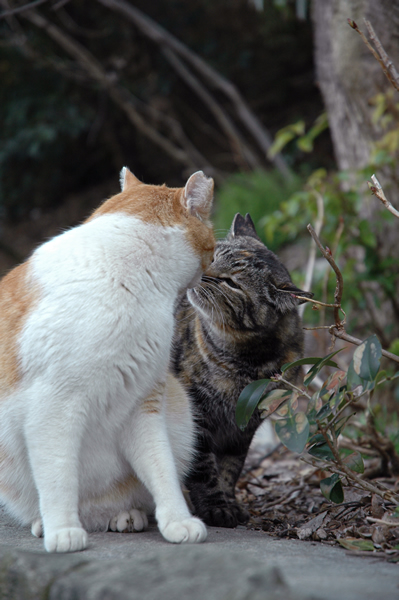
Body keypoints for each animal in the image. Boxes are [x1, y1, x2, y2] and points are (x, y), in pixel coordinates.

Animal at [172, 213, 312, 528]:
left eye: (231, 283)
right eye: (213, 256)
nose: (199, 271)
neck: (246, 364)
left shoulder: (243, 428)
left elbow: (230, 469)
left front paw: (229, 503)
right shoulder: (196, 416)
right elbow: (203, 468)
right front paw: (215, 508)